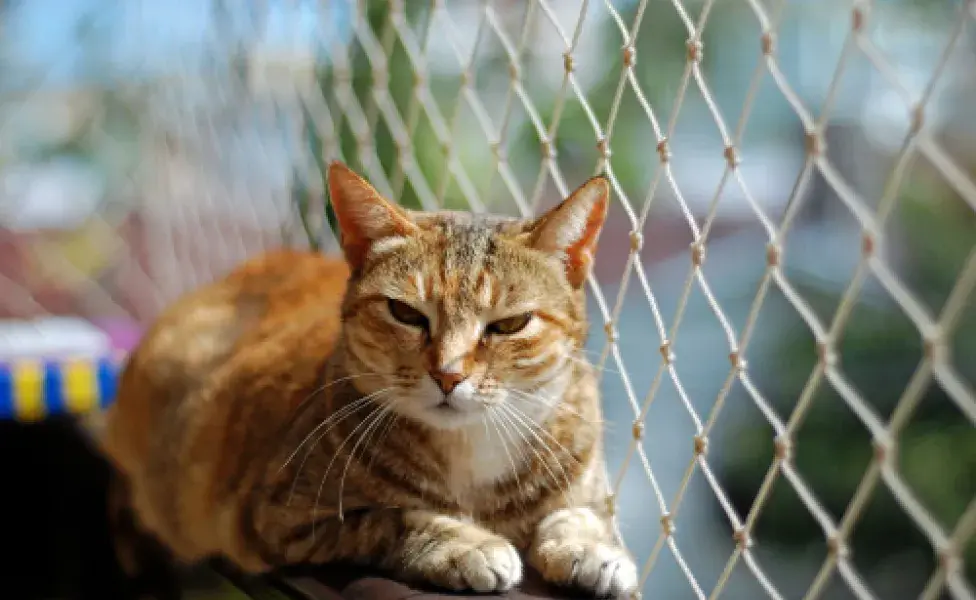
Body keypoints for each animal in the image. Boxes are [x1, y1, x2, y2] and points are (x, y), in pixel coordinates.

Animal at [99, 162, 640, 596]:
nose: (448, 374)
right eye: (406, 313)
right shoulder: (279, 517)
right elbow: (392, 518)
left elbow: (582, 514)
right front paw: (463, 543)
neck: (471, 450)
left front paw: (593, 549)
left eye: (509, 325)